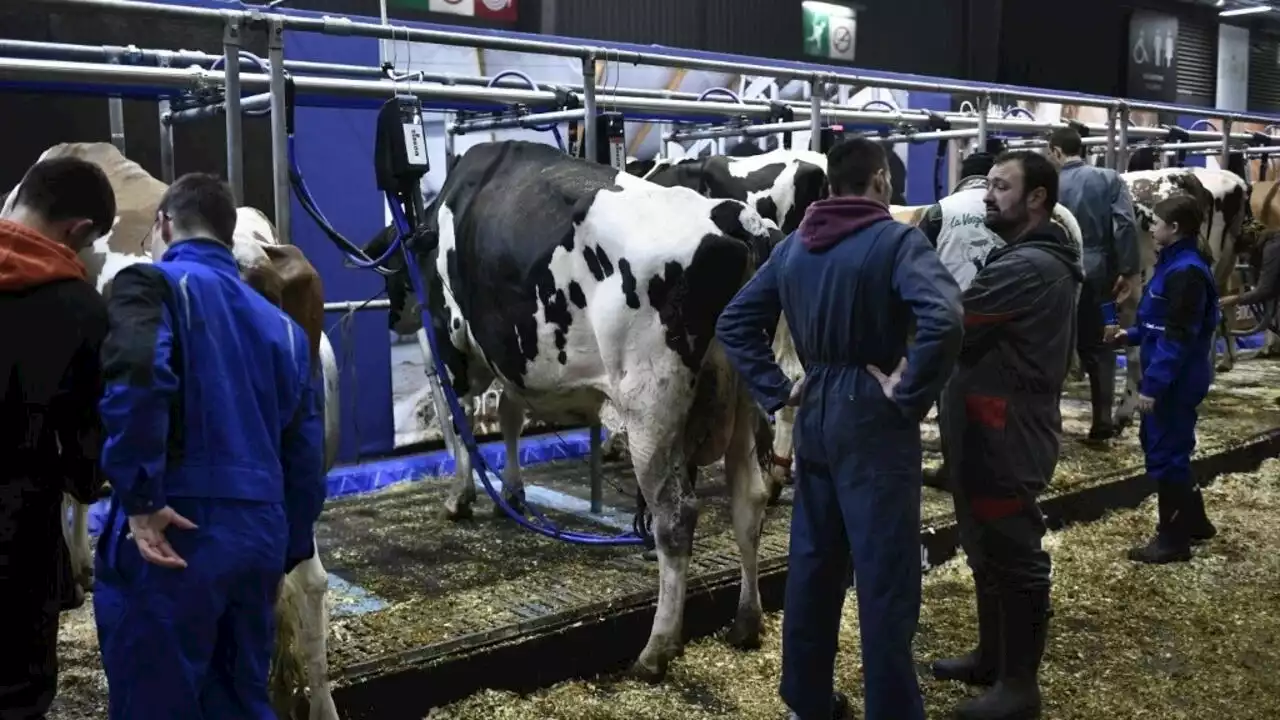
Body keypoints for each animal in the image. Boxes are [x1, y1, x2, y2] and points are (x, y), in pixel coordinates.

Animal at [368, 141, 778, 676]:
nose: (393, 316)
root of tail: (731, 217)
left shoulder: (450, 343)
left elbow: (458, 422)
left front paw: (460, 497)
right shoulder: (515, 355)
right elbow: (510, 415)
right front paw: (512, 491)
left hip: (650, 409)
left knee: (675, 516)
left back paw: (656, 650)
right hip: (745, 400)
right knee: (749, 498)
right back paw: (746, 623)